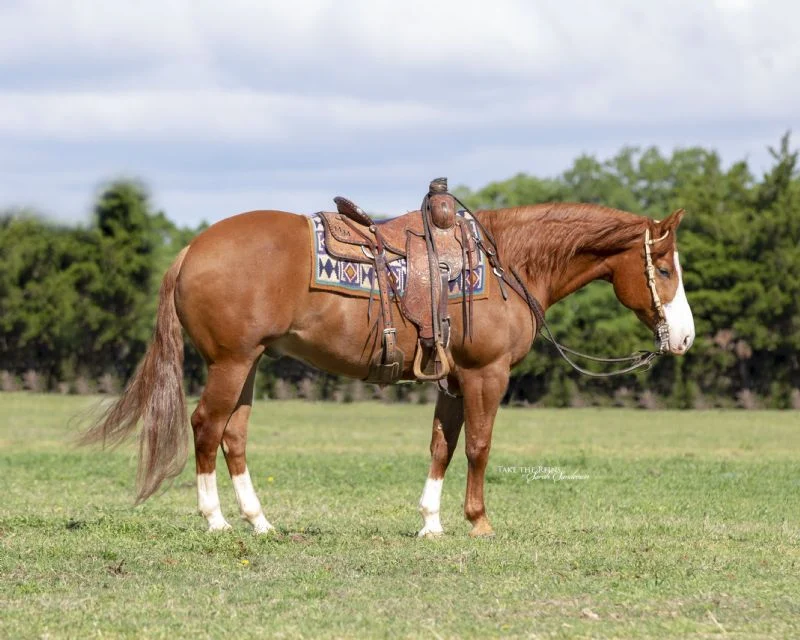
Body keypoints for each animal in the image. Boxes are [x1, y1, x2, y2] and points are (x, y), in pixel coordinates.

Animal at [81, 201, 695, 538]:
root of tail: (192, 249)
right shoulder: (486, 374)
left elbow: (442, 445)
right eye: (664, 268)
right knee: (206, 427)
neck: (506, 263)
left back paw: (259, 521)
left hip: (248, 364)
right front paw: (478, 521)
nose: (684, 337)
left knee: (234, 435)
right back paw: (215, 519)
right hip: (229, 363)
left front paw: (431, 522)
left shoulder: (453, 377)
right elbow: (479, 447)